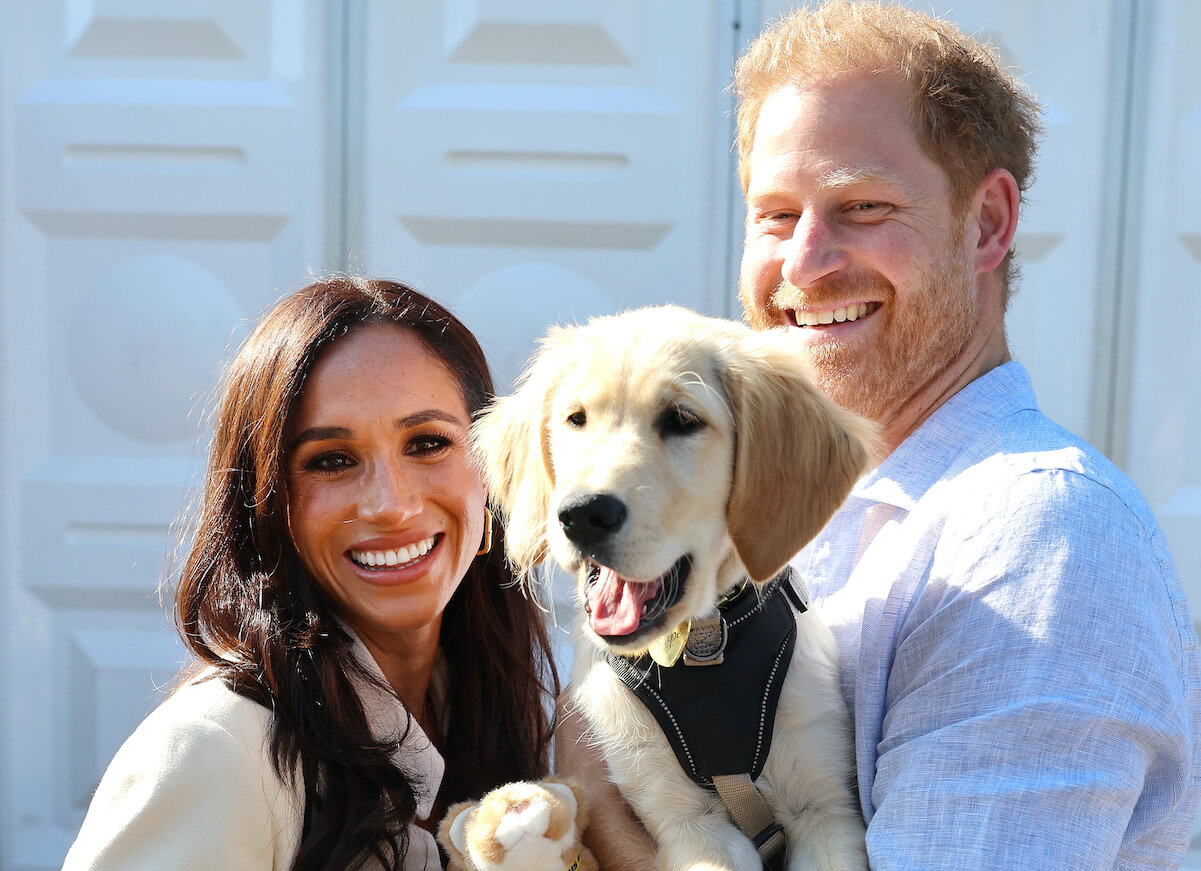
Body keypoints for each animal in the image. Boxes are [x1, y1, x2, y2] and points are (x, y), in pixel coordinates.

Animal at [470, 306, 874, 869]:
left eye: (682, 421)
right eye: (576, 419)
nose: (581, 515)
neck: (706, 641)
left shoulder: (826, 807)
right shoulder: (685, 819)